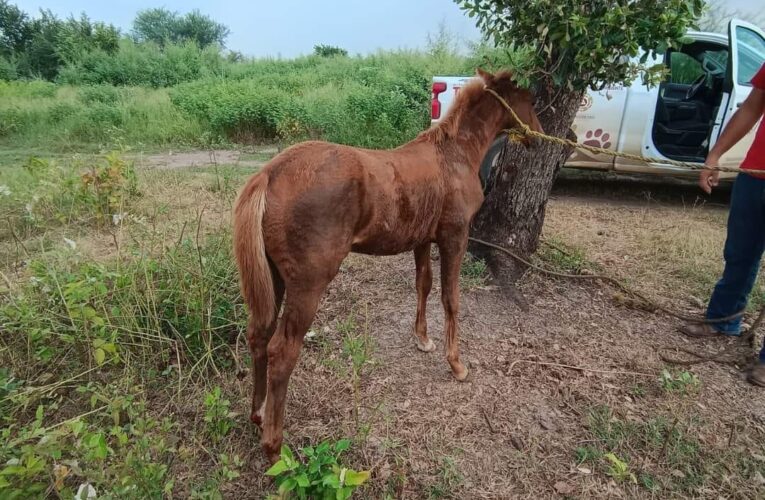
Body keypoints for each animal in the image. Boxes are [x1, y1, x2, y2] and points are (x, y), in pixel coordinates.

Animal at [233, 68, 544, 462]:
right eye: (530, 100)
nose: (541, 136)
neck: (454, 155)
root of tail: (271, 173)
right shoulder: (454, 237)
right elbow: (451, 298)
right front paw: (457, 365)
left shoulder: (423, 240)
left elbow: (424, 284)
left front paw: (423, 339)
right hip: (308, 284)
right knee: (282, 351)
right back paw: (275, 448)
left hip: (273, 277)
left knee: (259, 335)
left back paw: (258, 414)